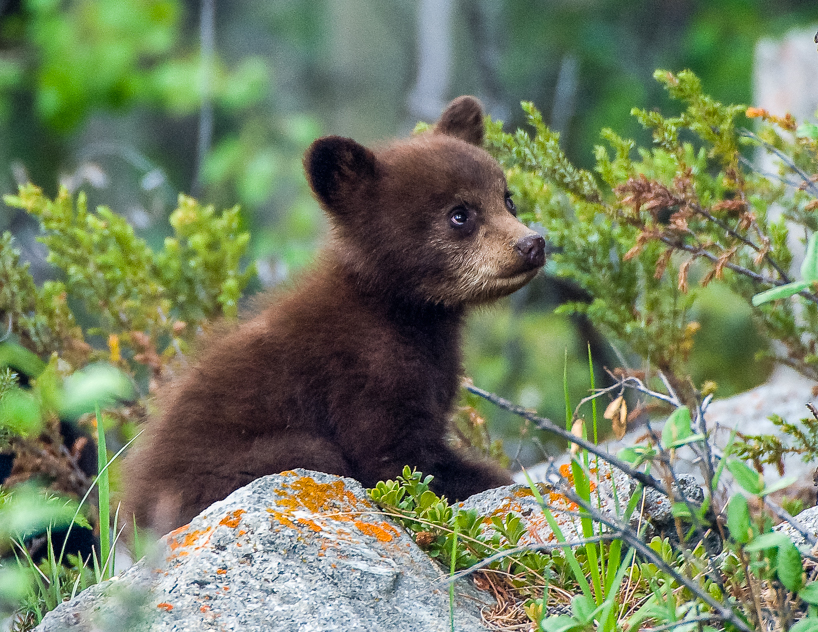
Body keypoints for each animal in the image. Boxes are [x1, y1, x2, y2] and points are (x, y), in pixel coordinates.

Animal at [124, 96, 546, 534]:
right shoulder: (364, 376)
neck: (402, 312)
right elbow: (399, 461)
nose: (532, 243)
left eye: (507, 199)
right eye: (459, 214)